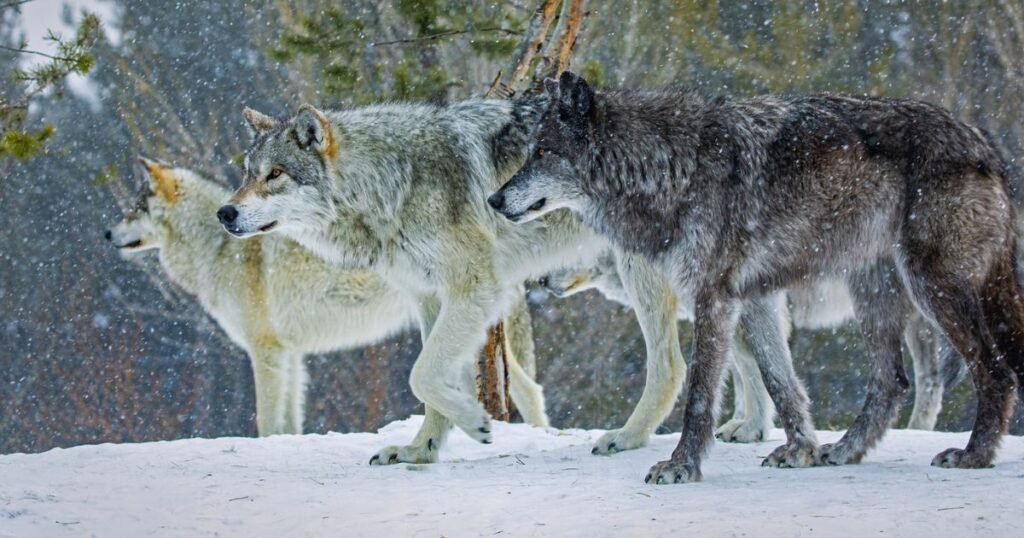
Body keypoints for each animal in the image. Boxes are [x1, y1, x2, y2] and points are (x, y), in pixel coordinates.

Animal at [106, 158, 549, 436]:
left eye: (134, 209)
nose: (107, 233)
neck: (218, 249)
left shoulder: (266, 352)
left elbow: (266, 422)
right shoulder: (290, 356)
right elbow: (287, 425)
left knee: (528, 390)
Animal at [214, 95, 746, 464]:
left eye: (276, 174)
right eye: (247, 174)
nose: (225, 212)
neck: (391, 184)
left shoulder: (476, 287)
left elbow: (421, 373)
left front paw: (476, 422)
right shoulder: (431, 298)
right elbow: (432, 381)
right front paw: (421, 451)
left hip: (644, 275)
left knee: (672, 365)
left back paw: (629, 438)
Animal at [540, 256, 965, 437]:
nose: (541, 280)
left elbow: (758, 372)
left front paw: (754, 429)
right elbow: (746, 373)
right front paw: (744, 423)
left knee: (931, 380)